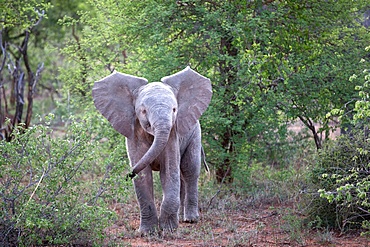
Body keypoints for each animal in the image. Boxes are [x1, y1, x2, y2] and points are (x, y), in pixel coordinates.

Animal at [92, 67, 211, 233]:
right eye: (143, 111)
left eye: (174, 110)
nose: (128, 174)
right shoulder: (134, 134)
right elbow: (144, 177)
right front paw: (147, 232)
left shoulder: (173, 134)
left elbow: (169, 171)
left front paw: (168, 230)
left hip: (194, 134)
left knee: (190, 170)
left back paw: (190, 220)